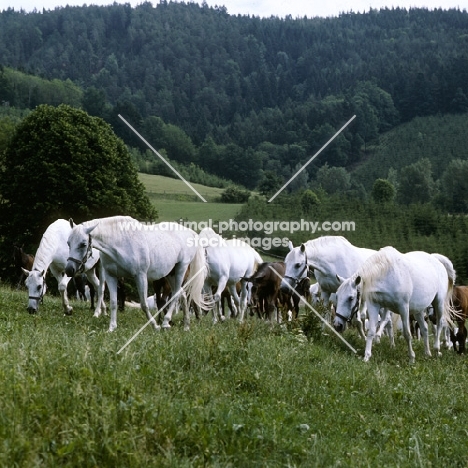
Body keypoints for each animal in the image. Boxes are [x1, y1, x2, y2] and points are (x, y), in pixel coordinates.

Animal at [65, 217, 208, 332]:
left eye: (83, 244)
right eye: (68, 243)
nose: (69, 270)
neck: (120, 242)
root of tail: (191, 233)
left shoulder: (140, 276)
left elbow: (144, 304)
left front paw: (155, 326)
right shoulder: (111, 276)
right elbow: (113, 302)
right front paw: (112, 328)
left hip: (180, 269)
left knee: (177, 294)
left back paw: (165, 323)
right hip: (170, 274)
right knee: (182, 295)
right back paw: (186, 326)